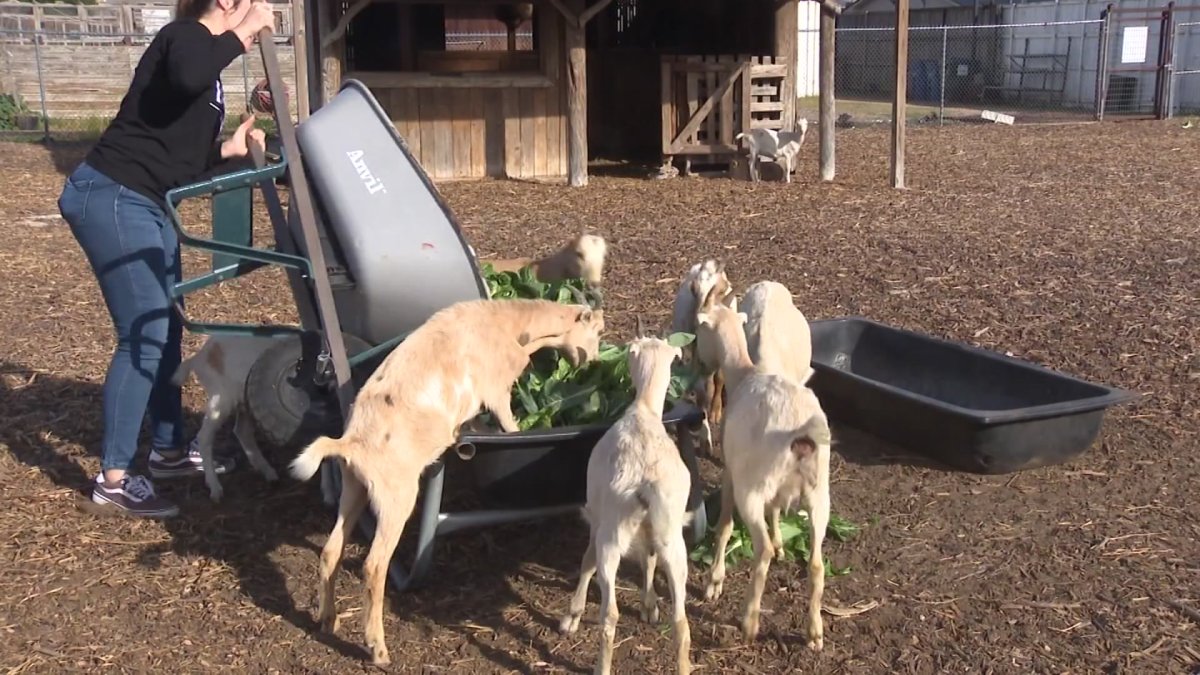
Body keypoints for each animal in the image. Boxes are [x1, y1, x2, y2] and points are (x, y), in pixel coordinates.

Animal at [170, 334, 283, 503]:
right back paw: (215, 488)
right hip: (221, 399)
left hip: (244, 401)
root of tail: (199, 357)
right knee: (204, 437)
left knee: (242, 432)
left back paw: (268, 472)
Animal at [289, 296, 606, 665]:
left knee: (330, 550)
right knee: (374, 566)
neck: (508, 324)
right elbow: (510, 426)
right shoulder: (496, 391)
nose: (593, 362)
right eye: (597, 331)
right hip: (396, 498)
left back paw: (328, 619)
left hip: (355, 488)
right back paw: (378, 649)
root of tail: (350, 443)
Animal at [559, 319, 692, 675]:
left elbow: (586, 561)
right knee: (681, 619)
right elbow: (648, 560)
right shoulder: (649, 531)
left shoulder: (597, 516)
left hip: (612, 534)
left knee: (610, 614)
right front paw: (649, 605)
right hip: (673, 537)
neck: (643, 409)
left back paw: (600, 666)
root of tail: (646, 481)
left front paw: (571, 615)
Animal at [670, 260, 736, 458]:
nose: (698, 318)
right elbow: (704, 388)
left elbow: (720, 378)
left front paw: (716, 410)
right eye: (694, 289)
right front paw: (705, 439)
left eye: (721, 290)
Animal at [694, 293, 832, 651]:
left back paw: (749, 622)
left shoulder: (732, 472)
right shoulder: (776, 489)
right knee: (816, 563)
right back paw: (814, 632)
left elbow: (725, 526)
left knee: (762, 550)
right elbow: (776, 511)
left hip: (751, 489)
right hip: (818, 492)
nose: (700, 365)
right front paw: (782, 541)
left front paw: (714, 582)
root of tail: (800, 436)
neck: (745, 373)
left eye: (699, 331)